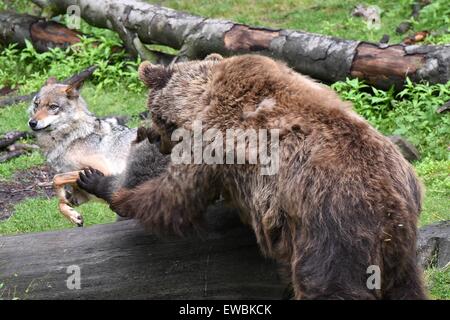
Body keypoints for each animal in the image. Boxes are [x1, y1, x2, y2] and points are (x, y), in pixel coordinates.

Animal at [110, 53, 426, 300]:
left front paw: (122, 199)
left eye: (151, 114)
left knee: (328, 284)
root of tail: (389, 205)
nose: (153, 137)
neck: (197, 100)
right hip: (401, 247)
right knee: (407, 286)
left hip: (331, 227)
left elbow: (176, 194)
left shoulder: (211, 143)